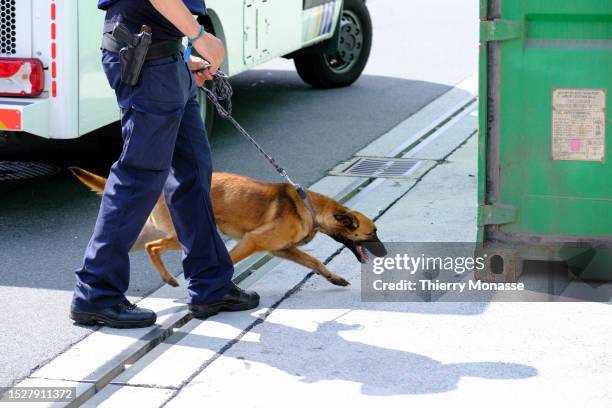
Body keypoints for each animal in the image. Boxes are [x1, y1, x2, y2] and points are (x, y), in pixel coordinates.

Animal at [69, 167, 384, 288]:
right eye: (372, 234)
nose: (385, 253)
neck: (309, 207)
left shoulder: (283, 250)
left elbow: (315, 261)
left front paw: (334, 278)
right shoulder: (252, 242)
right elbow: (228, 263)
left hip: (147, 233)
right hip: (179, 235)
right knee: (152, 247)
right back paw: (169, 277)